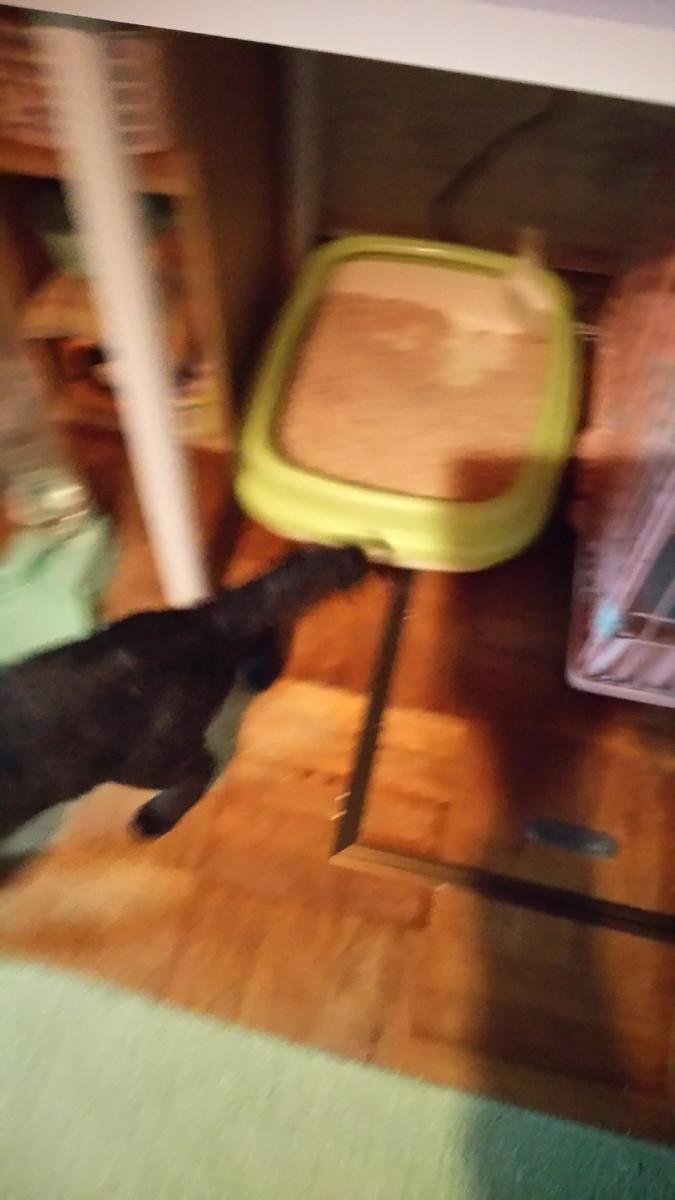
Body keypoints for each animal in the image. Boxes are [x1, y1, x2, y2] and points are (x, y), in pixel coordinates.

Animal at [0, 544, 367, 841]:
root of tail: (199, 619)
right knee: (256, 624)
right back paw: (259, 671)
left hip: (141, 760)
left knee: (202, 765)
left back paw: (154, 819)